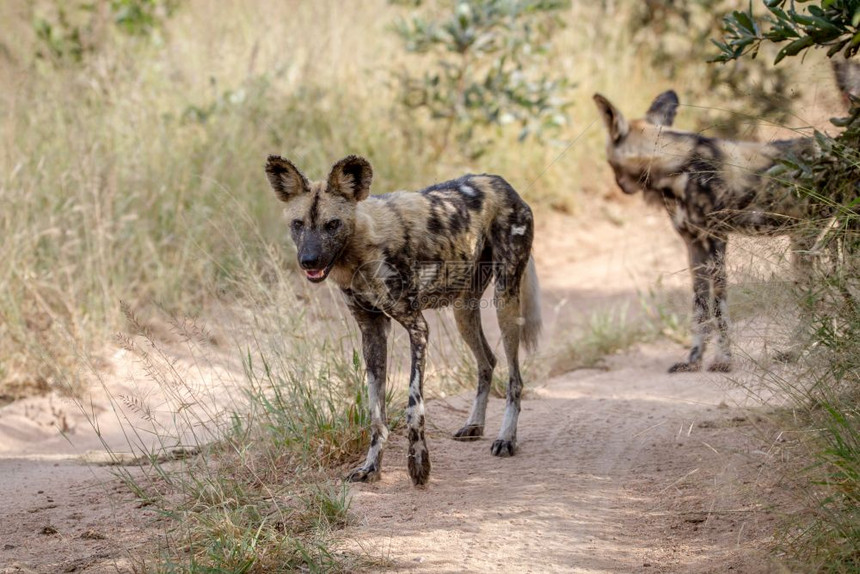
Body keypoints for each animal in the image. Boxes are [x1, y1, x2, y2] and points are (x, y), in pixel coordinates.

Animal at [266, 156, 540, 486]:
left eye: (332, 224)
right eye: (298, 224)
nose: (309, 261)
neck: (359, 253)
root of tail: (502, 183)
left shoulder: (417, 328)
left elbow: (413, 406)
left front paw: (418, 465)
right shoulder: (372, 331)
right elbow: (376, 414)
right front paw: (371, 467)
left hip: (504, 301)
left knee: (515, 378)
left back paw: (506, 438)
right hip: (463, 310)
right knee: (487, 361)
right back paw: (474, 425)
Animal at [592, 91, 820, 374]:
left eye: (610, 162)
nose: (620, 186)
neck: (677, 167)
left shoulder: (716, 240)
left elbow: (719, 309)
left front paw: (723, 360)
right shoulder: (694, 246)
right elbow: (699, 310)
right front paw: (693, 359)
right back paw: (800, 350)